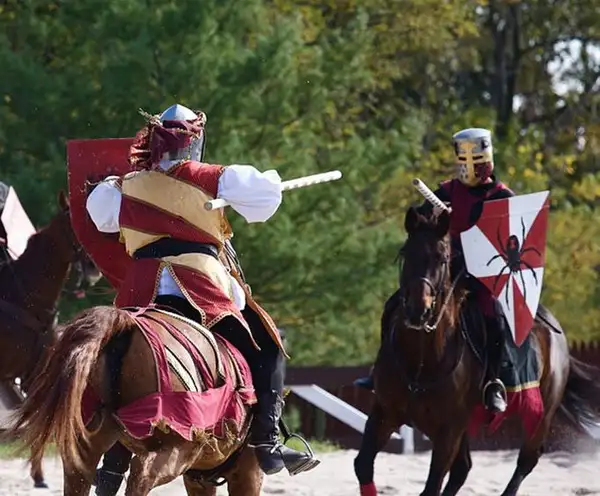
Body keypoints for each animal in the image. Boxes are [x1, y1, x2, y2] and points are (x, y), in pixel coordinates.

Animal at [8, 304, 266, 494]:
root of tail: (126, 323)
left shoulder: (200, 478)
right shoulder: (246, 471)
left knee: (79, 471)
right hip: (181, 446)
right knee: (142, 473)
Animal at [354, 207, 600, 496]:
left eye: (442, 258)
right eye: (405, 253)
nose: (418, 310)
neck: (422, 360)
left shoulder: (448, 430)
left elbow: (432, 486)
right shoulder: (386, 413)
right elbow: (363, 464)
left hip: (542, 412)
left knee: (527, 459)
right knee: (463, 469)